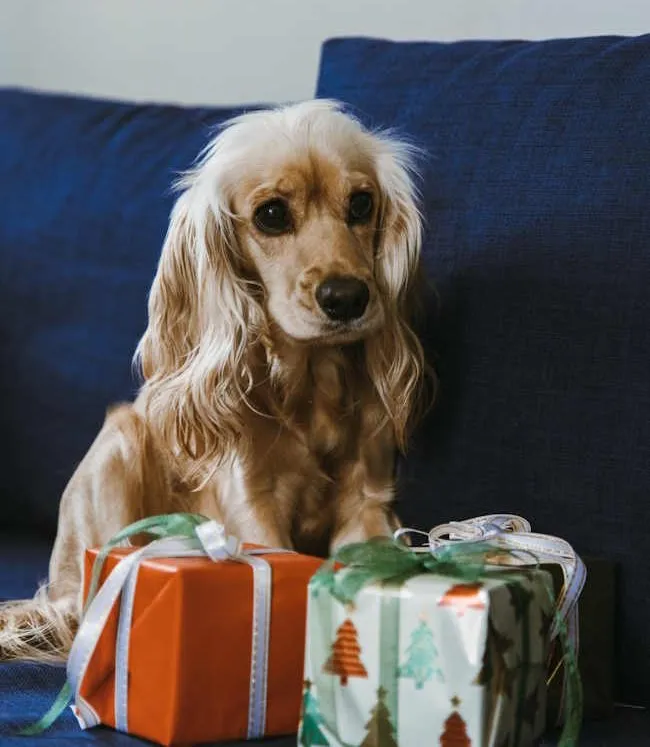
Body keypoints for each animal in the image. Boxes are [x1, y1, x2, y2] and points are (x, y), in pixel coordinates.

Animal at [1, 98, 430, 660]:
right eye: (271, 214)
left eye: (361, 204)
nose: (347, 298)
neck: (311, 385)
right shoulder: (252, 502)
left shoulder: (368, 501)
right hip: (118, 448)